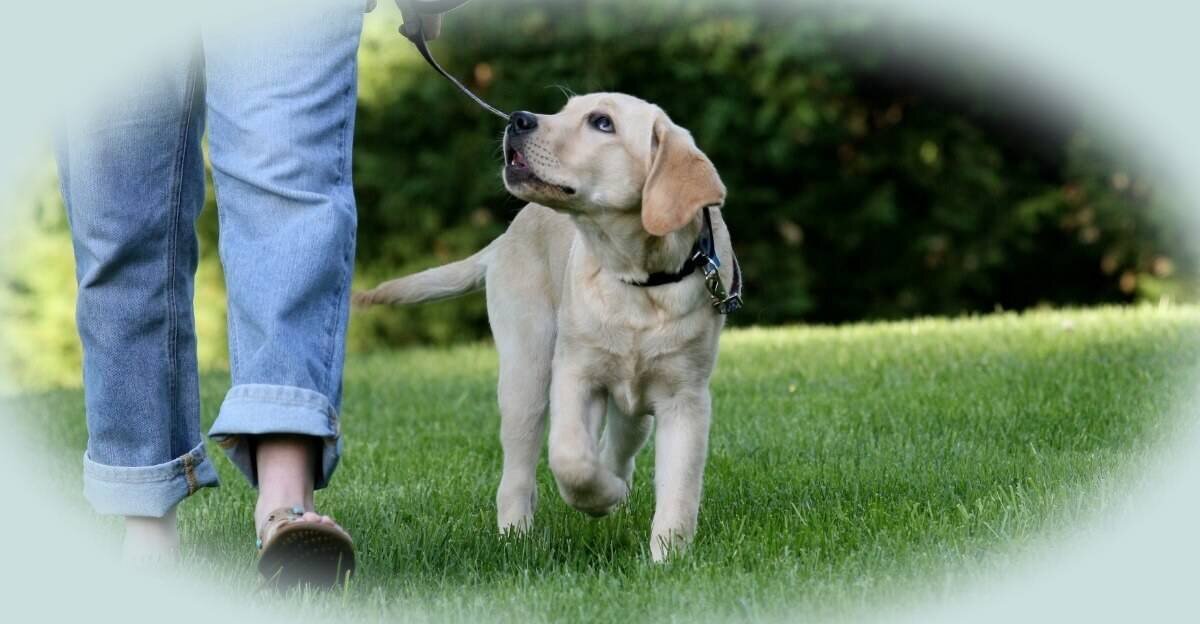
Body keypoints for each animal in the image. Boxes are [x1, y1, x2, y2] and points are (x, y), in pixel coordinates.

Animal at [350, 91, 734, 561]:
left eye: (602, 123)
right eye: (567, 109)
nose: (518, 119)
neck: (637, 279)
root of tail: (502, 239)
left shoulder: (686, 397)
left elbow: (679, 488)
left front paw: (667, 559)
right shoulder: (574, 372)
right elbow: (571, 459)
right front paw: (601, 496)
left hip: (634, 402)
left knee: (621, 442)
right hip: (526, 371)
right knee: (518, 471)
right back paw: (516, 533)